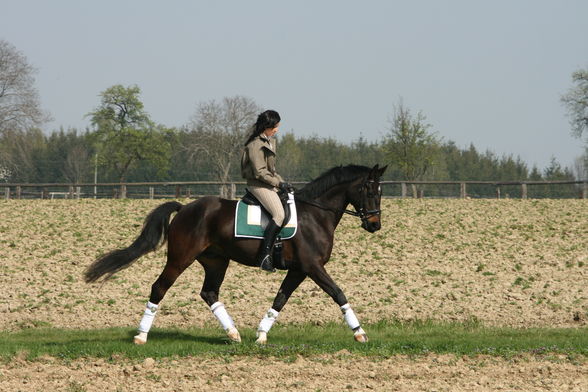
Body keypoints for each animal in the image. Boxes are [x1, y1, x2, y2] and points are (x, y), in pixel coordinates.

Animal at [82, 164, 386, 344]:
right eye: (368, 189)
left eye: (381, 191)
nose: (374, 225)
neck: (316, 214)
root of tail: (185, 208)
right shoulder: (313, 267)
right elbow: (338, 293)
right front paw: (360, 333)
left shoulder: (299, 269)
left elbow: (280, 299)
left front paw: (261, 335)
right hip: (180, 259)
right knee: (159, 287)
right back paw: (141, 336)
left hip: (216, 261)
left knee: (209, 293)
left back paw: (233, 333)